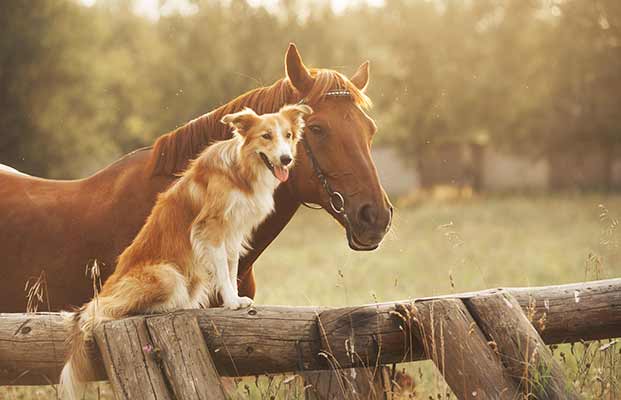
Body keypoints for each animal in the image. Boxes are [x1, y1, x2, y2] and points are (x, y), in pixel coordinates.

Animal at [58, 104, 310, 400]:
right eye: (266, 136)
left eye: (288, 135)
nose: (286, 159)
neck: (241, 170)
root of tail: (106, 289)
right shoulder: (211, 229)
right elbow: (223, 270)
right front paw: (231, 302)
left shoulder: (233, 233)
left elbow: (231, 267)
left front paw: (236, 299)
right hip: (167, 275)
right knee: (103, 311)